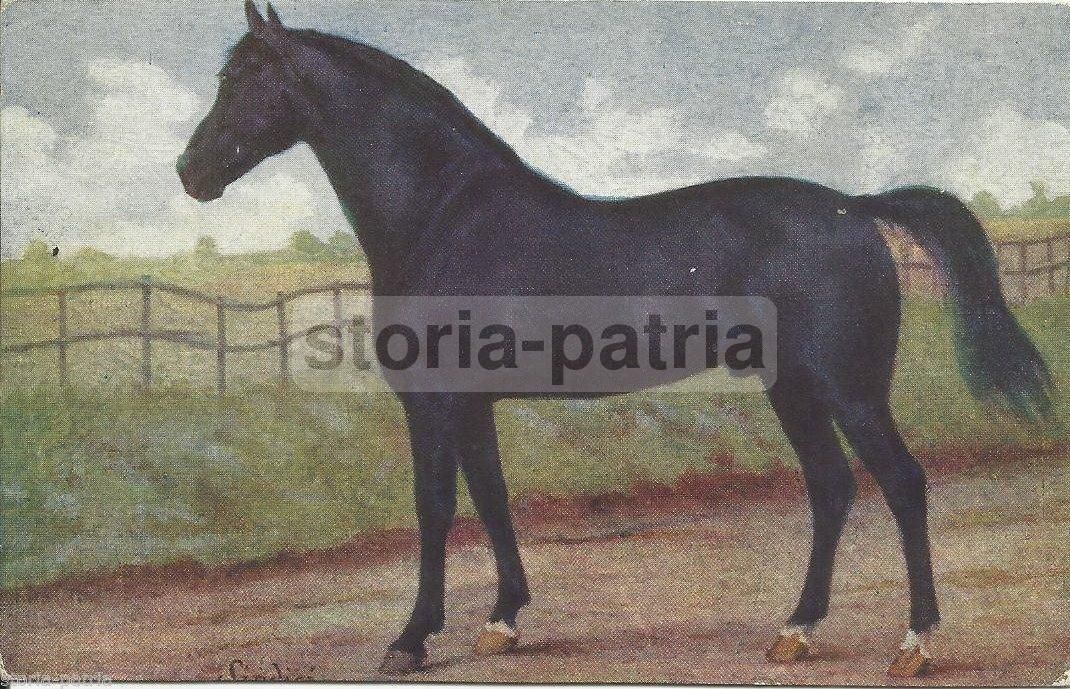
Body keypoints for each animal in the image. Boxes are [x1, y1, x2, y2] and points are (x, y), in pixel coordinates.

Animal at [177, 3, 1052, 677]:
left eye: (242, 78)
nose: (190, 172)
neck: (444, 215)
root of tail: (854, 207)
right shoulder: (473, 402)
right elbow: (491, 498)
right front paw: (502, 621)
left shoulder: (433, 402)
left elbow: (435, 506)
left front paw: (411, 638)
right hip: (792, 388)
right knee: (832, 487)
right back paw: (795, 631)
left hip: (850, 389)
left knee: (902, 483)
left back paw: (915, 643)